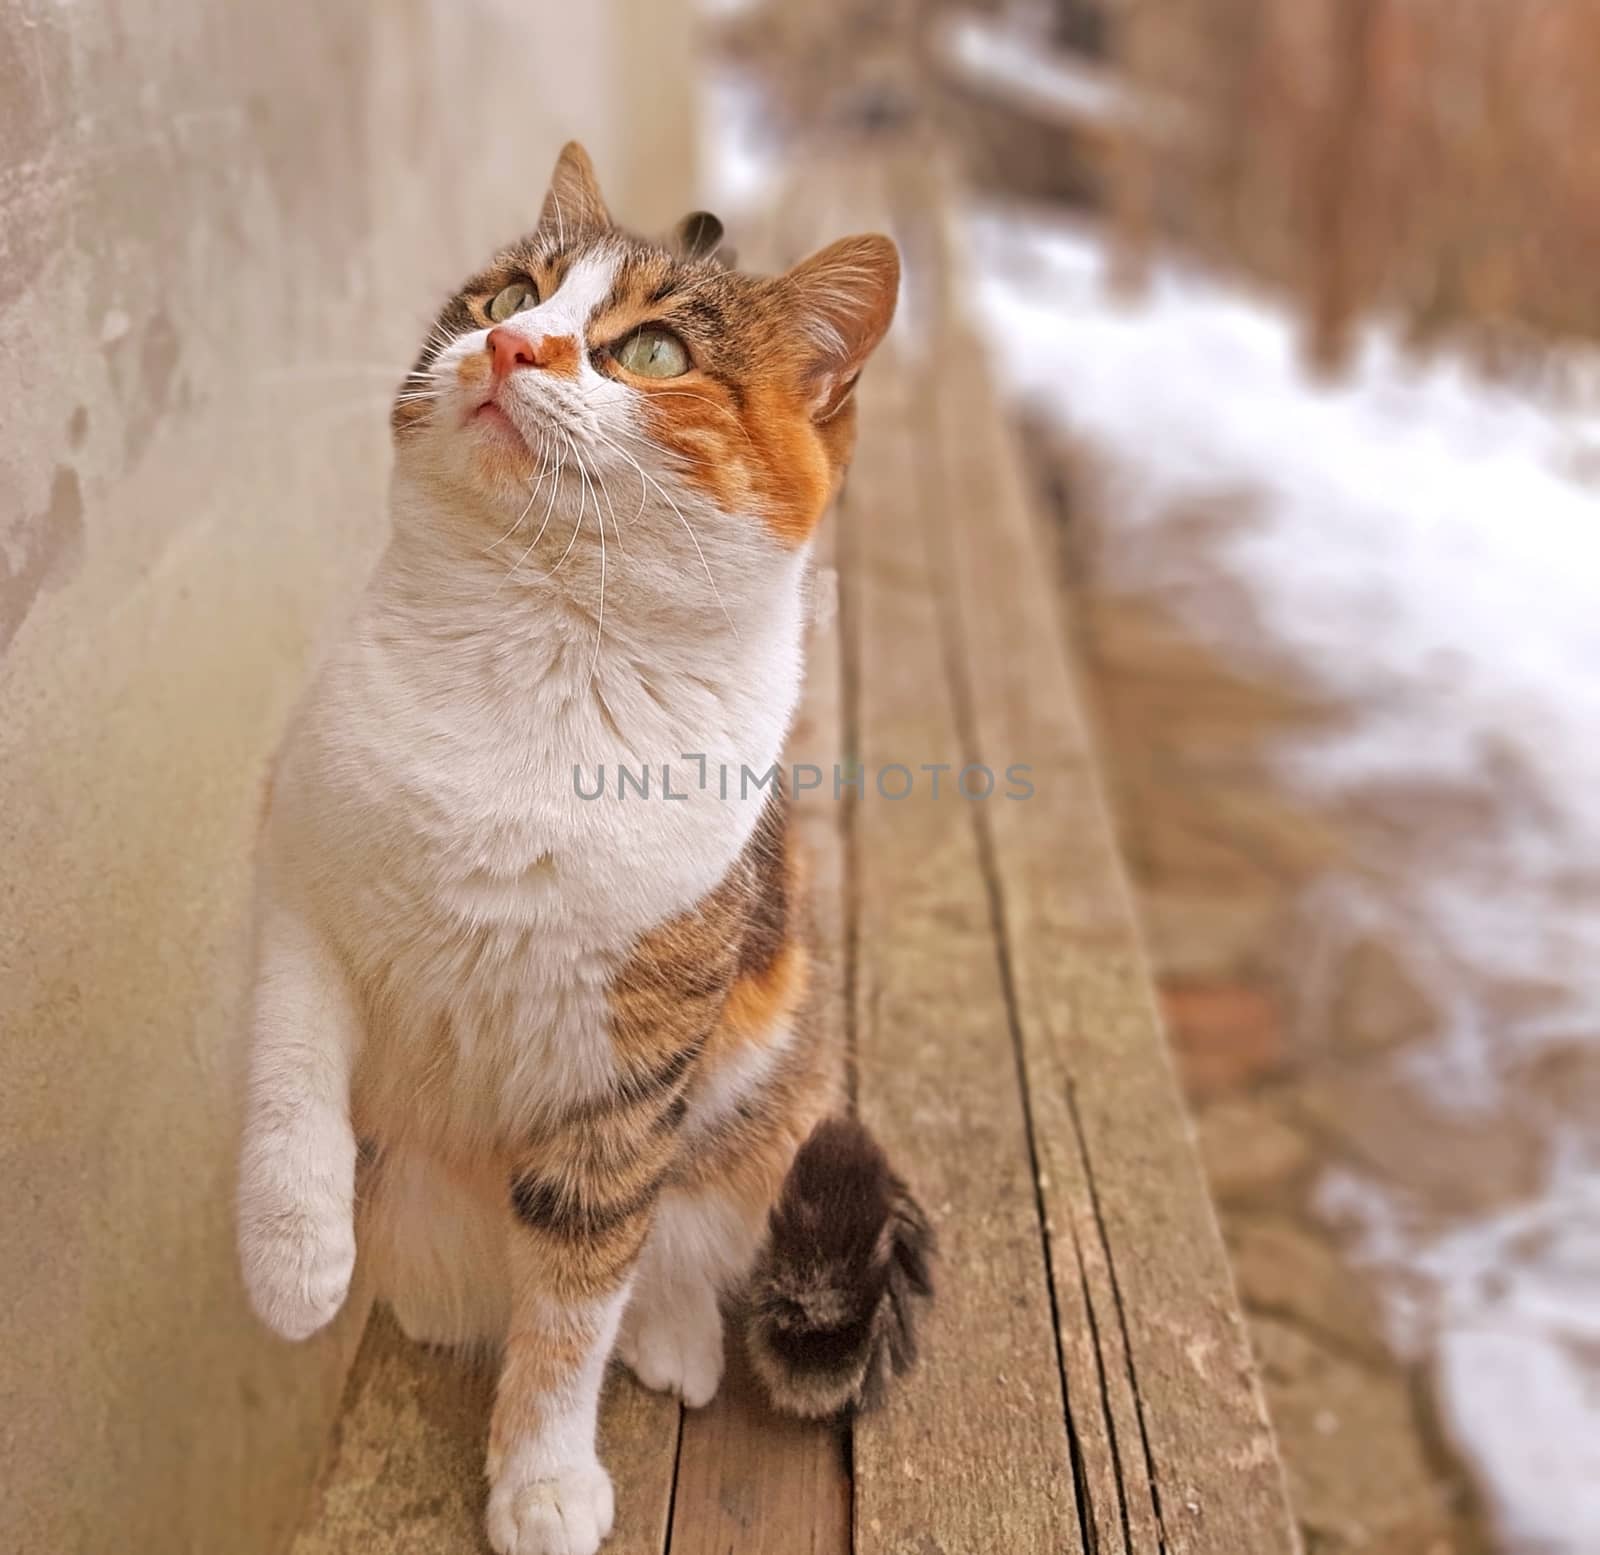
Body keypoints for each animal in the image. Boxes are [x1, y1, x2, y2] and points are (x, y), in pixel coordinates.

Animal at [238, 139, 934, 1548]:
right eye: (510, 294)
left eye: (653, 353)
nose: (511, 346)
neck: (537, 637)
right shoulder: (302, 876)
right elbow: (290, 1081)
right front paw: (295, 1262)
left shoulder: (627, 1070)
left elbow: (573, 1300)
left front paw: (543, 1476)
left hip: (761, 1100)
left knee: (666, 1248)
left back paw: (670, 1336)